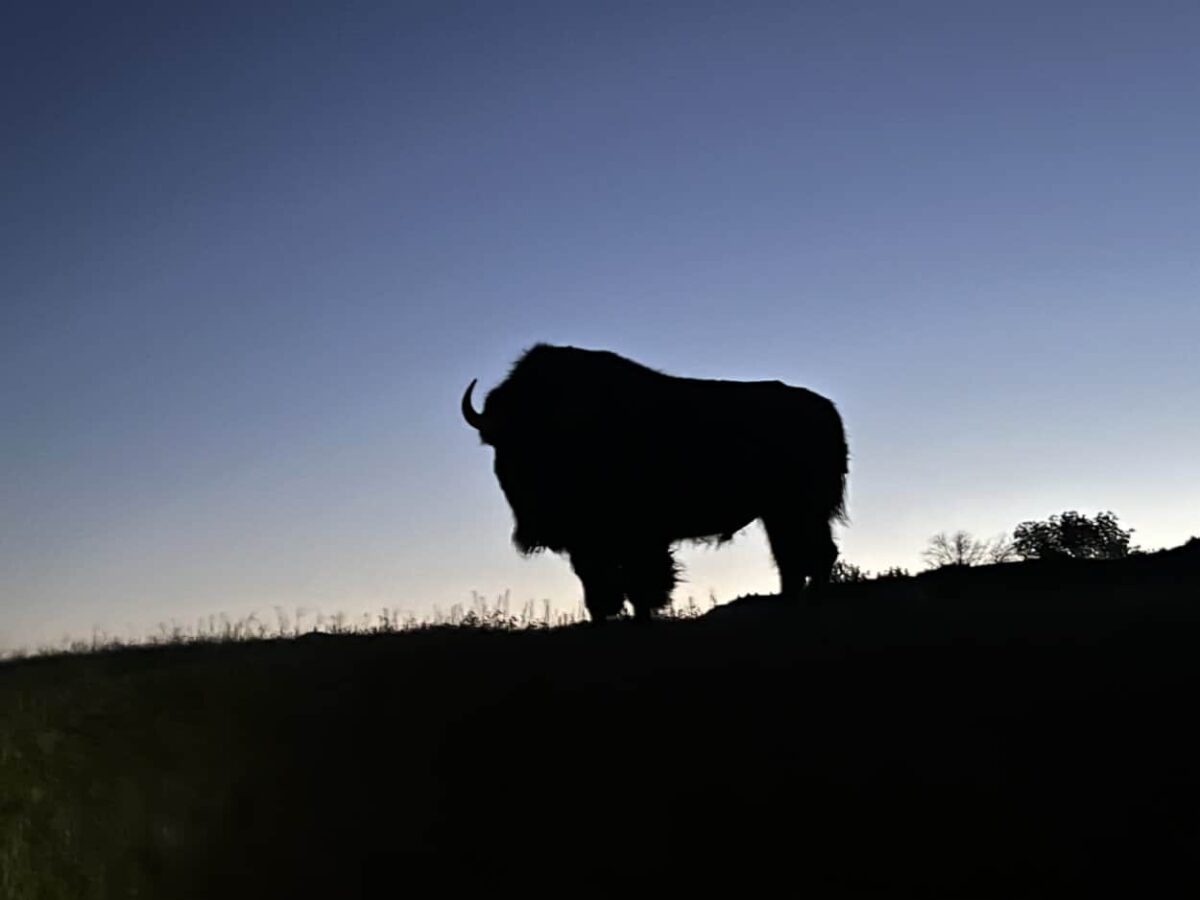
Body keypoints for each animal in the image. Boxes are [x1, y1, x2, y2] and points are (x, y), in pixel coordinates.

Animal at [461, 344, 848, 622]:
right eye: (499, 443)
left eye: (547, 440)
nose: (534, 528)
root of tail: (826, 410)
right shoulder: (586, 543)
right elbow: (596, 585)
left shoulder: (641, 538)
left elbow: (641, 584)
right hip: (779, 514)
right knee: (793, 559)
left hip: (801, 510)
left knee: (816, 554)